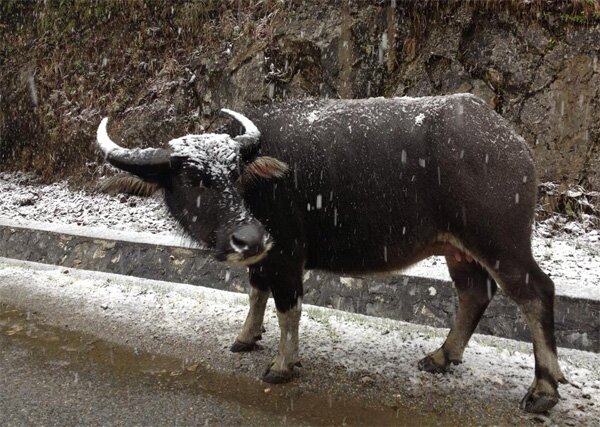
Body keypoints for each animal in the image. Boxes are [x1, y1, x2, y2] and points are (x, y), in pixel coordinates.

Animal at [96, 94, 564, 414]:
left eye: (234, 174)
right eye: (192, 178)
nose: (248, 235)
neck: (263, 182)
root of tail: (510, 141)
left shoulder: (286, 252)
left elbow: (288, 306)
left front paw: (283, 364)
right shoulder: (263, 254)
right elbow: (255, 291)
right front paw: (246, 338)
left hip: (500, 241)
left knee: (535, 292)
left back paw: (543, 389)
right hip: (458, 249)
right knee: (474, 293)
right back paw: (442, 356)